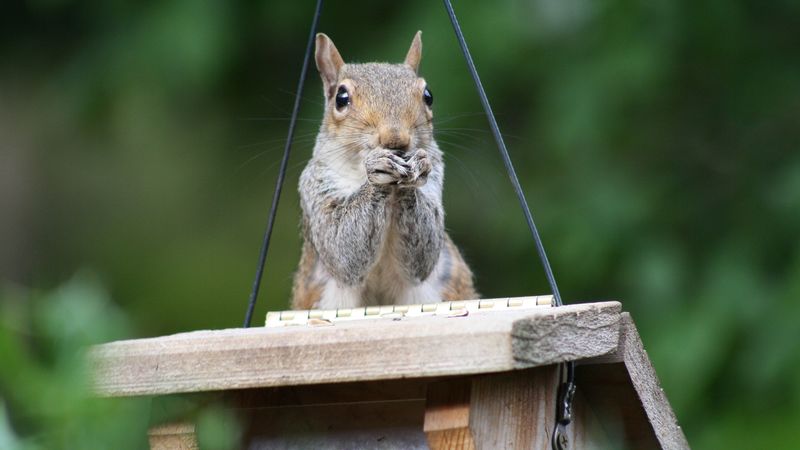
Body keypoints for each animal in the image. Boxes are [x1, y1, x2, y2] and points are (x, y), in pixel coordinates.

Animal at [292, 31, 477, 310]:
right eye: (341, 98)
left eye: (428, 96)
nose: (395, 138)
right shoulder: (315, 186)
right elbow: (340, 248)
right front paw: (377, 172)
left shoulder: (436, 179)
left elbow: (424, 255)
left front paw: (416, 170)